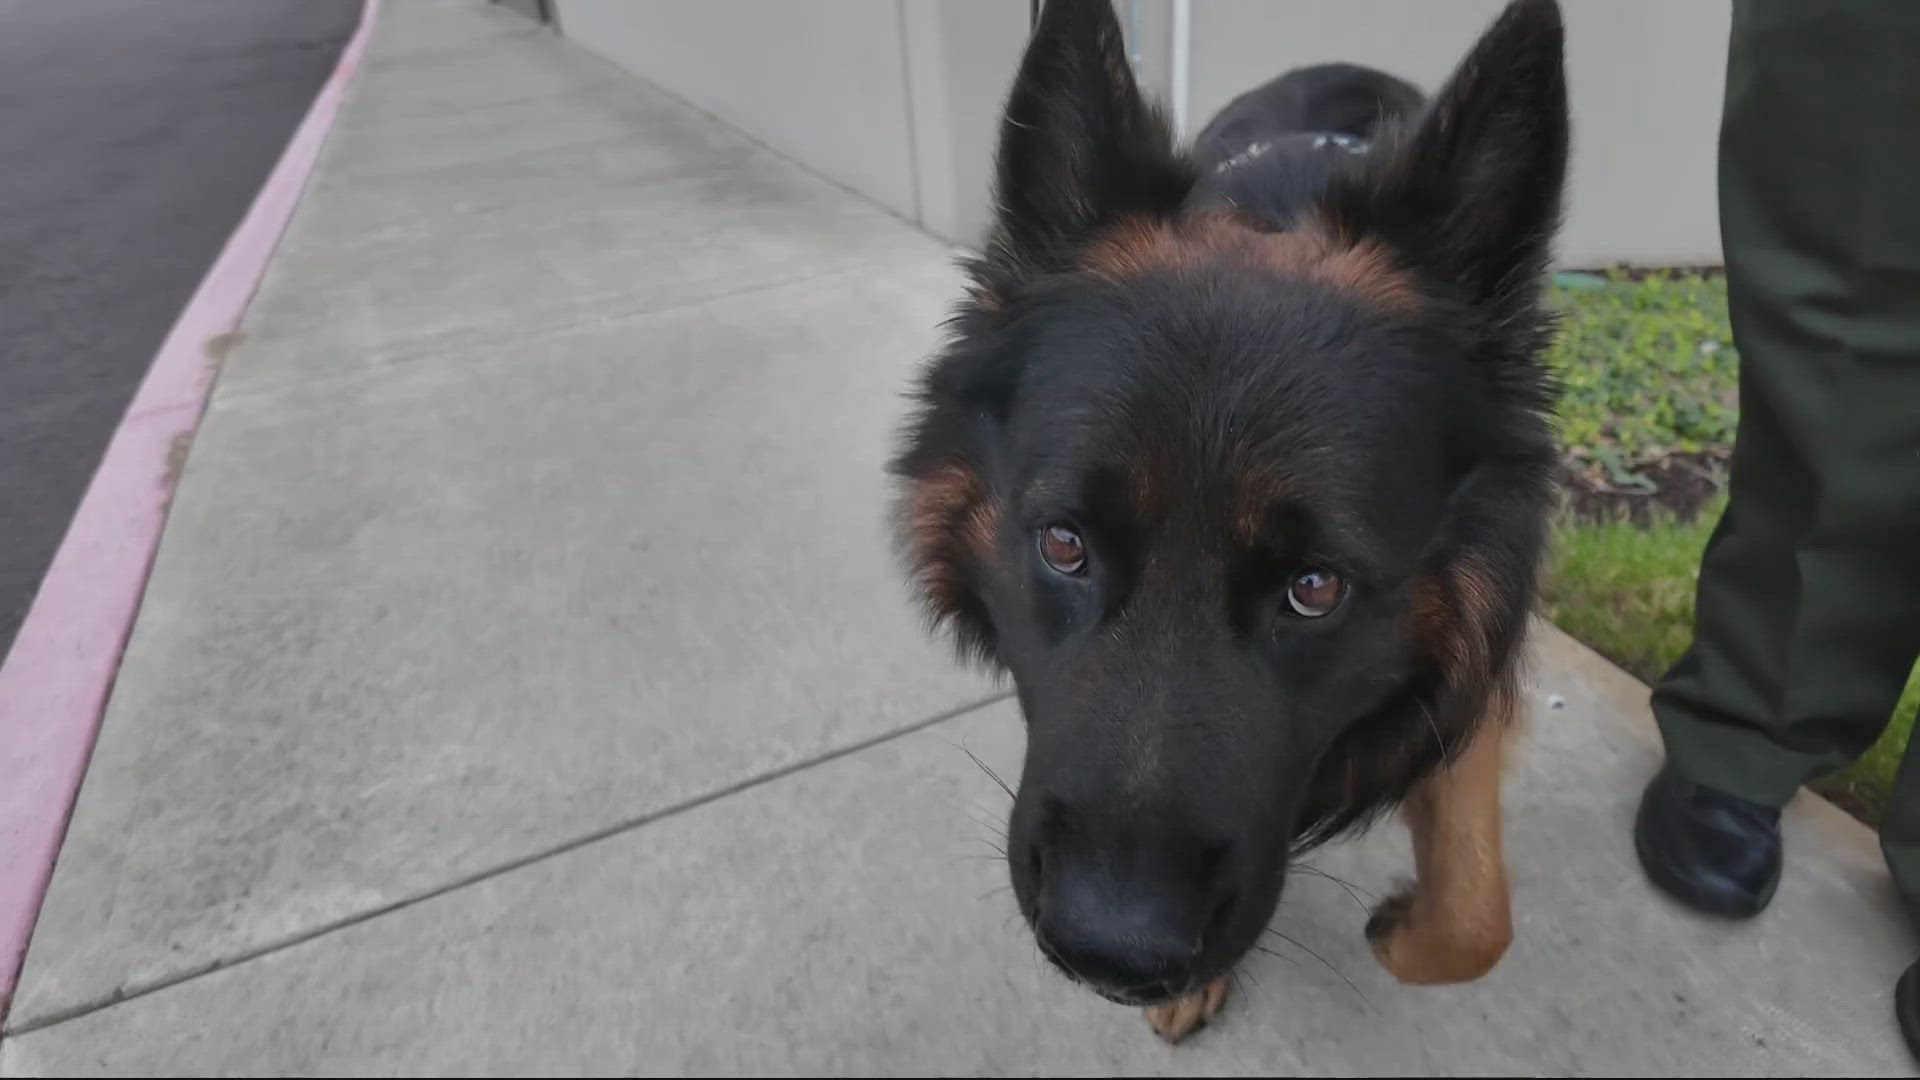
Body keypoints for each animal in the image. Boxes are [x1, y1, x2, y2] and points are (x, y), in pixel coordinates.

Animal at [890, 0, 1566, 1045]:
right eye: (1064, 545)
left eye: (1316, 587)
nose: (1113, 953)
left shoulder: (1465, 681)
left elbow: (1475, 916)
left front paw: (1409, 930)